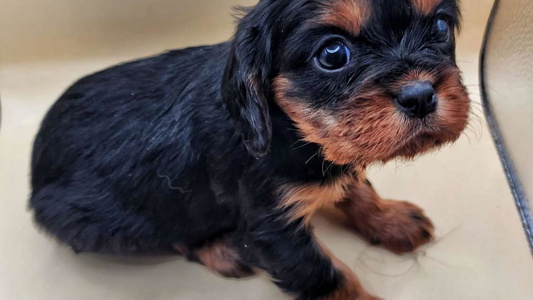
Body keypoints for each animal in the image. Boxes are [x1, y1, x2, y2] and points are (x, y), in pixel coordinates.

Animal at [31, 0, 468, 298]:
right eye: (333, 54)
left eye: (440, 26)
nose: (420, 95)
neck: (289, 129)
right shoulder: (271, 226)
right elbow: (326, 275)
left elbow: (356, 185)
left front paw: (390, 218)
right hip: (108, 219)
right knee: (171, 231)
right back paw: (220, 249)